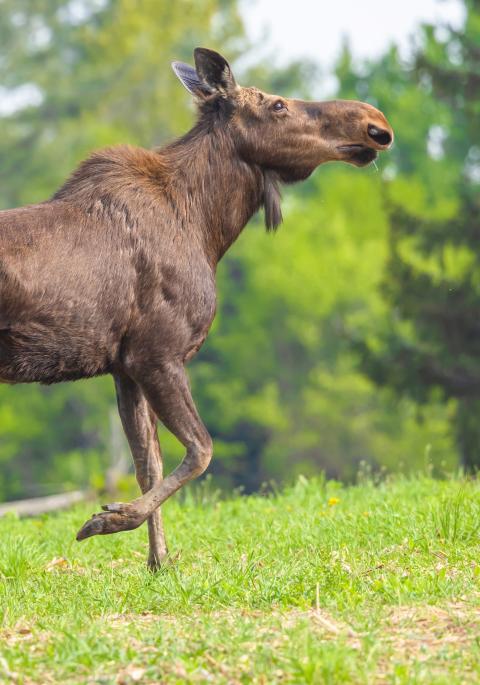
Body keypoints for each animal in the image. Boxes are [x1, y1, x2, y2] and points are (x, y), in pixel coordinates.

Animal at [0, 48, 393, 569]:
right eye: (278, 105)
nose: (375, 124)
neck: (208, 227)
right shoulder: (158, 354)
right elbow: (200, 450)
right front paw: (107, 519)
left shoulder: (124, 366)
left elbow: (148, 464)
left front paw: (158, 562)